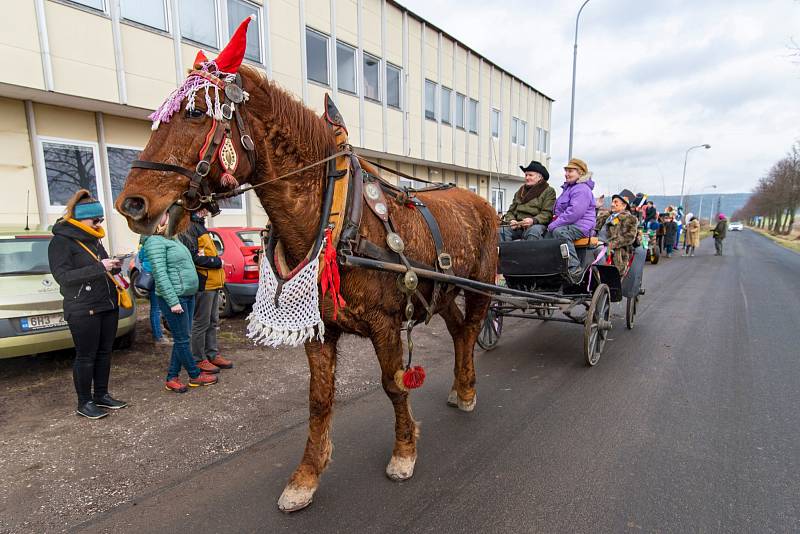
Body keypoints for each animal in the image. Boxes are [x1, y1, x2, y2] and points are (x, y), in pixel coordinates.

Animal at [115, 65, 496, 512]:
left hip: (481, 286)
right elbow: (319, 398)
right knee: (458, 331)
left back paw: (467, 389)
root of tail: (482, 202)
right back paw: (460, 386)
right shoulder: (320, 328)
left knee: (471, 329)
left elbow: (395, 384)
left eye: (195, 113)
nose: (131, 203)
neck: (336, 216)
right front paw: (306, 477)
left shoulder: (384, 324)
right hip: (441, 292)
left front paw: (404, 453)